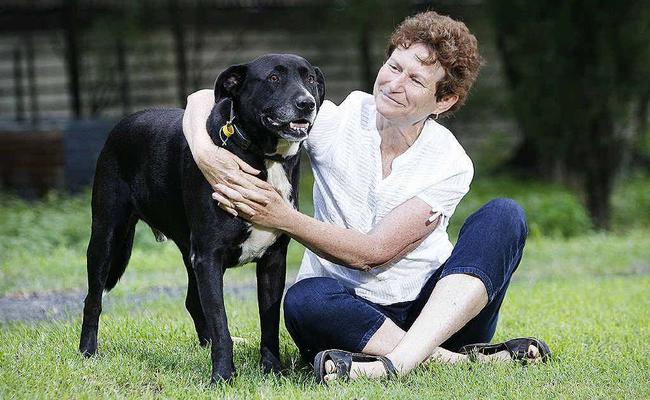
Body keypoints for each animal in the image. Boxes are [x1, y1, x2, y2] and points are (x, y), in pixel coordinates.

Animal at [78, 53, 324, 382]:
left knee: (192, 301)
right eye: (273, 78)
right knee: (93, 299)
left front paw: (272, 371)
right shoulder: (209, 257)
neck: (262, 155)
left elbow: (269, 322)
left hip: (187, 251)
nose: (306, 103)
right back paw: (87, 351)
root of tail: (124, 121)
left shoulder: (272, 259)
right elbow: (221, 323)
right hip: (107, 236)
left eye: (310, 78)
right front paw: (222, 376)